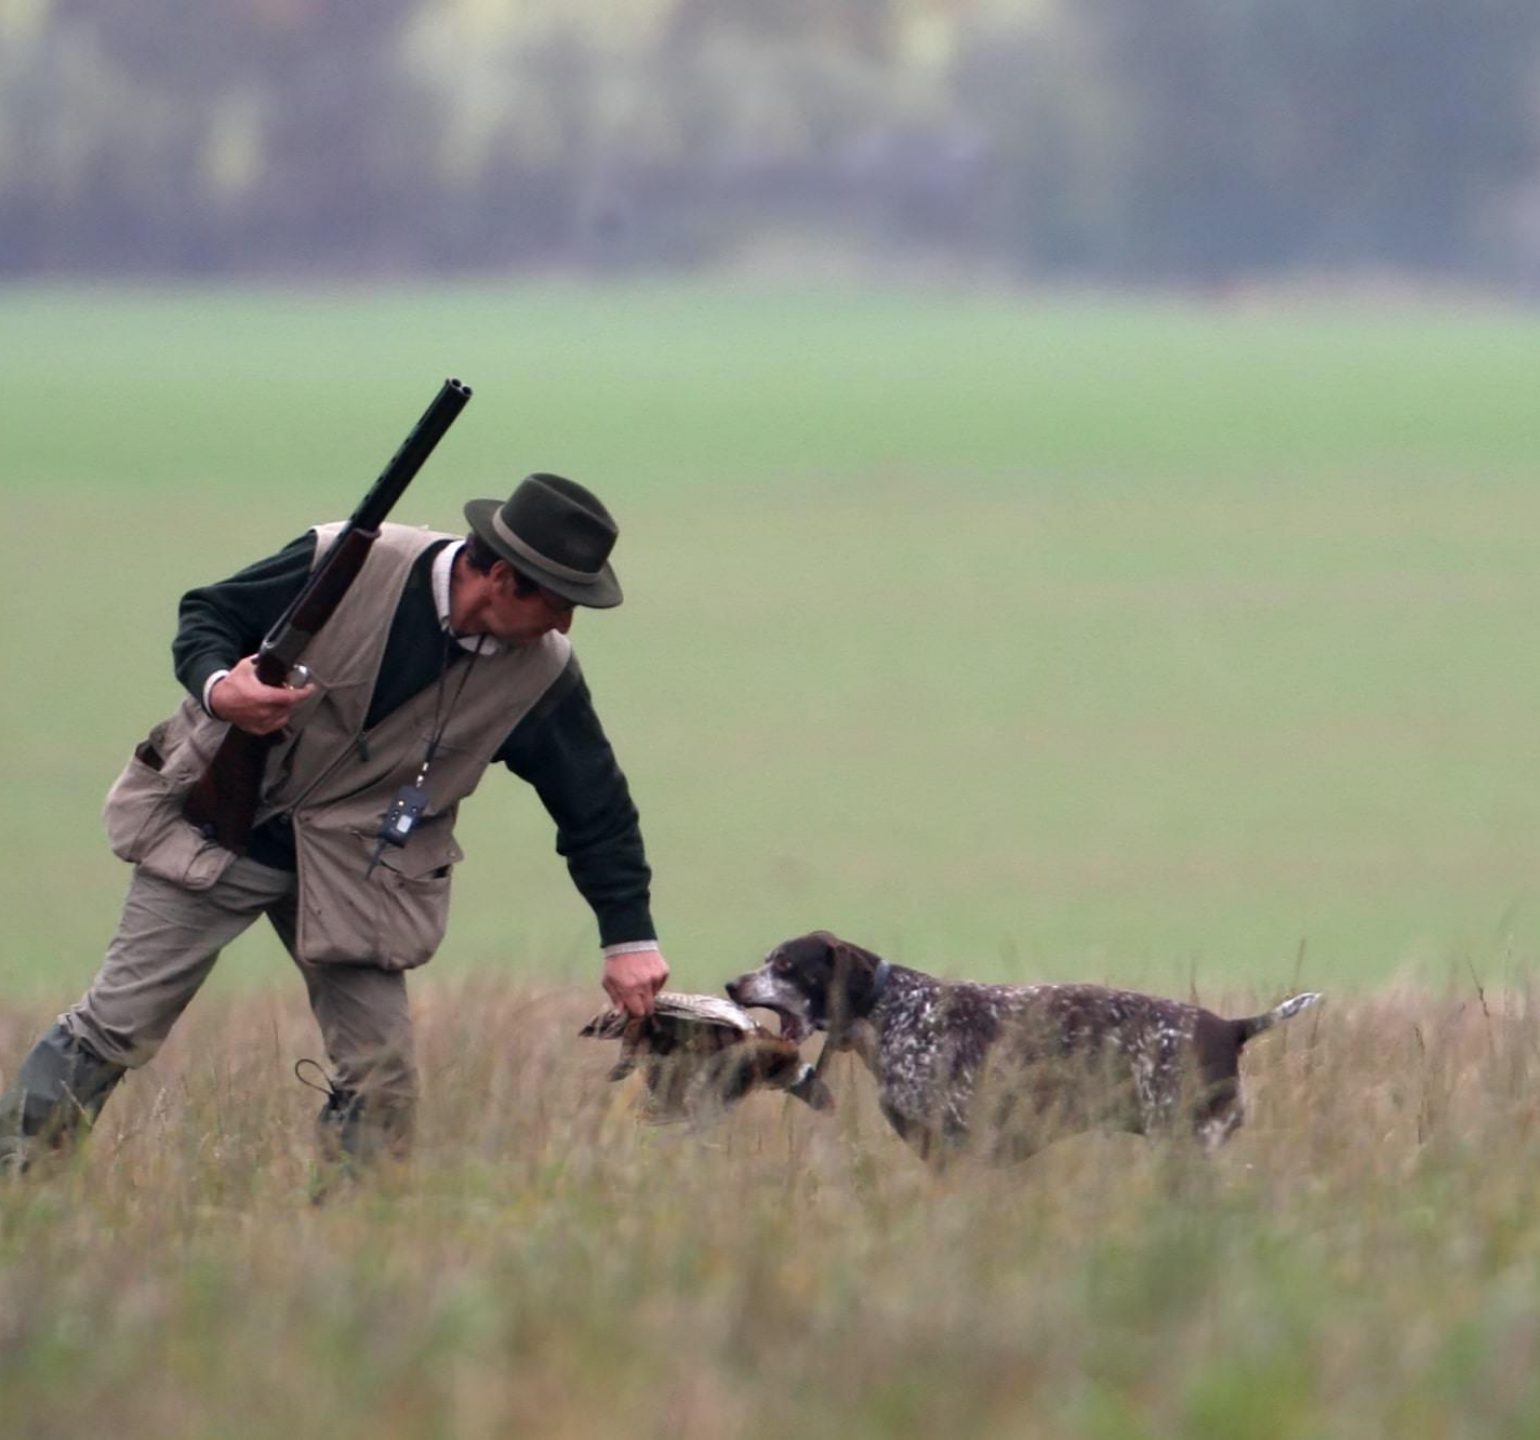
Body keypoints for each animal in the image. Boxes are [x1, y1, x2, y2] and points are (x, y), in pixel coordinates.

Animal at [726, 936, 1318, 1158]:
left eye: (785, 964)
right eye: (766, 958)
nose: (733, 984)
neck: (892, 1010)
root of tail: (1231, 1028)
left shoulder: (960, 1149)